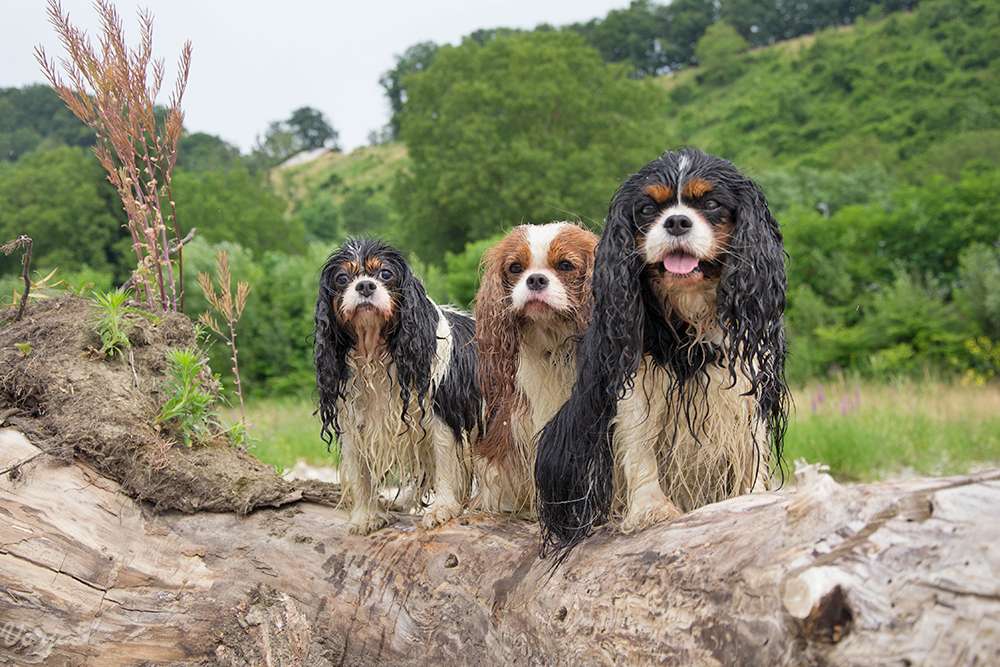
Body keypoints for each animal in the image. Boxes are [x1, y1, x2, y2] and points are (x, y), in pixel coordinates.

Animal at [314, 237, 482, 536]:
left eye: (385, 274)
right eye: (342, 278)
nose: (365, 285)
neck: (377, 350)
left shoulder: (442, 413)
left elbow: (445, 461)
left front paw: (443, 508)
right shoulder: (353, 420)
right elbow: (359, 471)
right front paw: (365, 516)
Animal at [532, 149, 788, 556]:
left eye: (711, 204)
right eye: (648, 209)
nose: (677, 221)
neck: (691, 305)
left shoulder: (746, 378)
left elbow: (752, 448)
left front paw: (750, 498)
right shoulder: (634, 379)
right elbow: (640, 445)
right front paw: (651, 510)